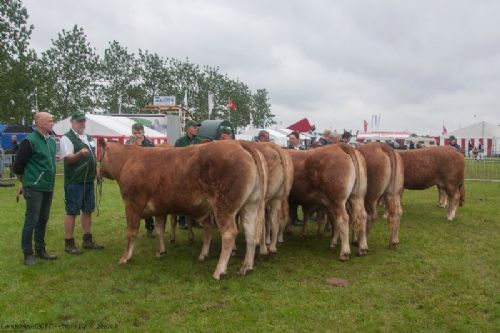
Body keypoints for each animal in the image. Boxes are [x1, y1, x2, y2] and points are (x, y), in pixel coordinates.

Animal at [99, 139, 268, 278]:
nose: (98, 172)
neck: (127, 160)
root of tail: (238, 143)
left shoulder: (132, 204)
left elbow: (131, 233)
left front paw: (124, 258)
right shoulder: (160, 209)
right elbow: (159, 230)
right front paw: (161, 251)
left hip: (224, 206)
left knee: (229, 233)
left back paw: (219, 271)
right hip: (251, 205)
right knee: (250, 233)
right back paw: (246, 267)